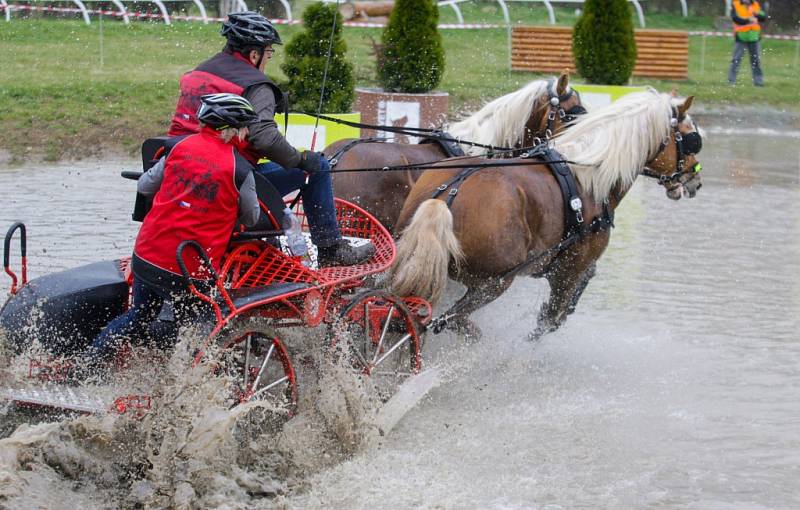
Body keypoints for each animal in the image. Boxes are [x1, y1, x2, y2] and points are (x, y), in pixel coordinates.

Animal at [390, 89, 704, 340]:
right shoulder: (569, 270)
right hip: (494, 283)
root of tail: (449, 195)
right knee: (450, 319)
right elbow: (551, 319)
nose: (696, 179)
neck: (589, 176)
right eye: (691, 139)